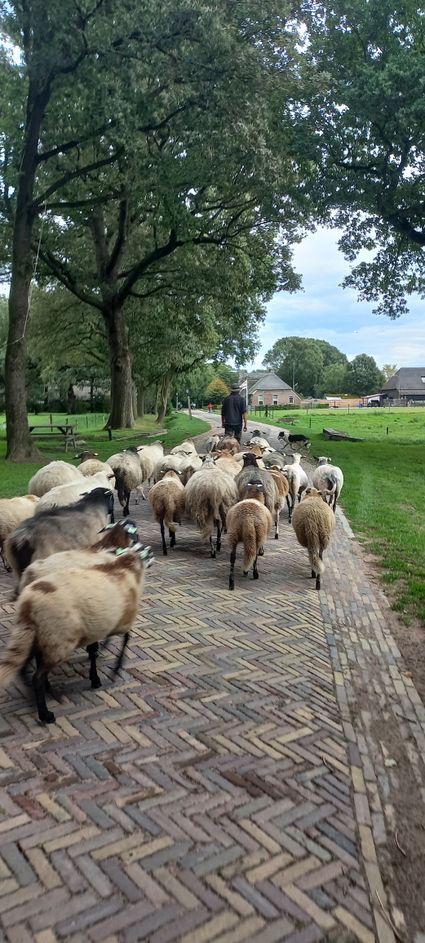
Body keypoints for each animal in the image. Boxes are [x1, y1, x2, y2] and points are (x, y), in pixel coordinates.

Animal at [0, 543, 153, 724]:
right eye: (146, 551)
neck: (125, 566)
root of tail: (28, 604)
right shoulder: (122, 620)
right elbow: (125, 639)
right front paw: (114, 670)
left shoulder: (100, 625)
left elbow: (96, 650)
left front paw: (97, 673)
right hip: (57, 642)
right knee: (37, 676)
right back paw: (45, 714)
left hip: (41, 636)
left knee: (29, 663)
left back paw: (36, 691)